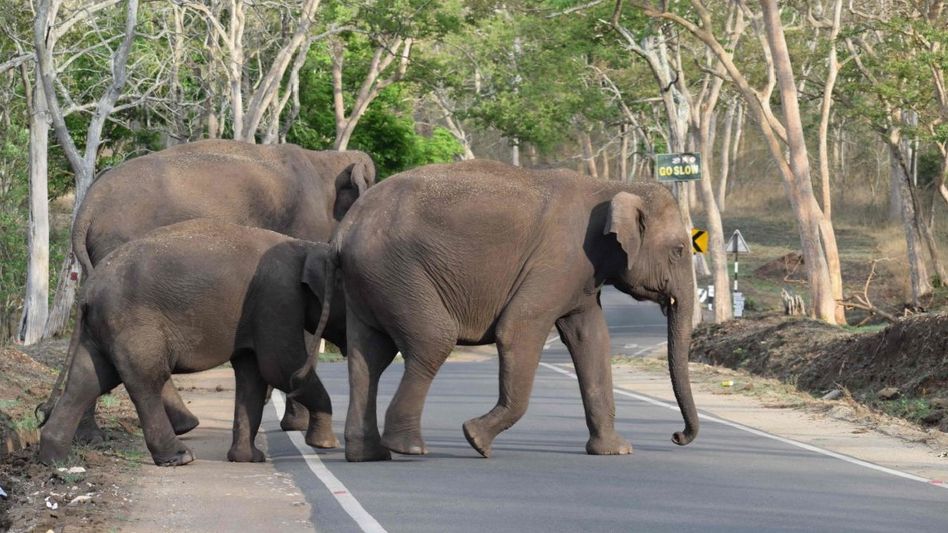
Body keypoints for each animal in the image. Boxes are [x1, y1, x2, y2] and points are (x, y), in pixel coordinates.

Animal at [38, 219, 344, 467]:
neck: (307, 246)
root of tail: (87, 291)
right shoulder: (278, 297)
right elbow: (281, 366)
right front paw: (325, 443)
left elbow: (253, 373)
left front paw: (248, 459)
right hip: (132, 323)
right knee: (146, 378)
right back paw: (180, 456)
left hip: (101, 327)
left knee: (89, 379)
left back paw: (55, 460)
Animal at [51, 139, 374, 444]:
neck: (328, 159)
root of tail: (86, 209)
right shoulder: (304, 227)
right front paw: (297, 424)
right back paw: (182, 425)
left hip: (98, 260)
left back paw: (92, 436)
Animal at [329, 159, 698, 462]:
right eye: (680, 250)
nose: (677, 436)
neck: (612, 185)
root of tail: (345, 228)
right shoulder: (560, 259)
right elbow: (517, 329)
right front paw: (476, 440)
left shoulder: (581, 275)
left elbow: (591, 340)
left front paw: (615, 450)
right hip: (396, 272)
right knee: (433, 340)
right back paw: (409, 448)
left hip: (371, 281)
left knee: (368, 357)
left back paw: (369, 455)